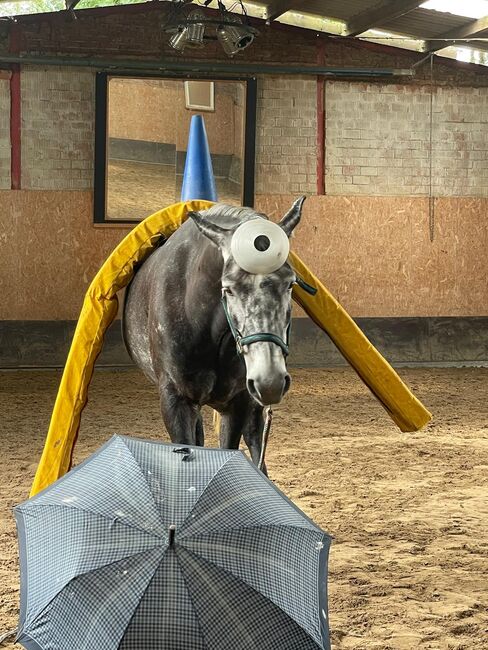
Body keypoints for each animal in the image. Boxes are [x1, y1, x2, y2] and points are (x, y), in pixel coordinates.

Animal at [122, 195, 304, 468]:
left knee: (255, 438)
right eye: (228, 288)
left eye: (290, 283)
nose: (269, 380)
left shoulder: (237, 402)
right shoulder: (176, 401)